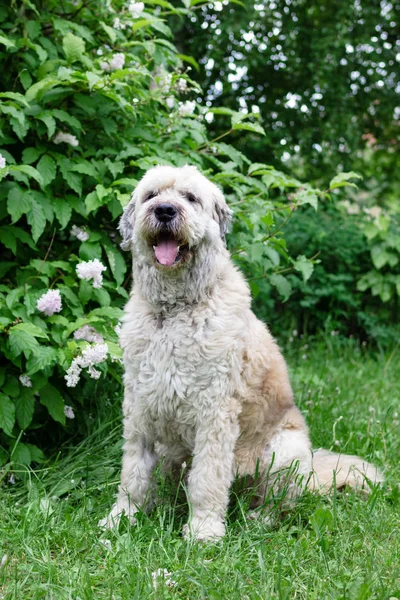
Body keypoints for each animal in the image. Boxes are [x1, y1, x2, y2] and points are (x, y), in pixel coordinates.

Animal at [101, 164, 384, 540]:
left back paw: (257, 519)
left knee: (278, 503)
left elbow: (207, 478)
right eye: (152, 195)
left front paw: (203, 530)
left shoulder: (214, 413)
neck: (174, 311)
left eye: (190, 197)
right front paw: (123, 518)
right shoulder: (139, 407)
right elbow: (133, 472)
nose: (165, 211)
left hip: (286, 450)